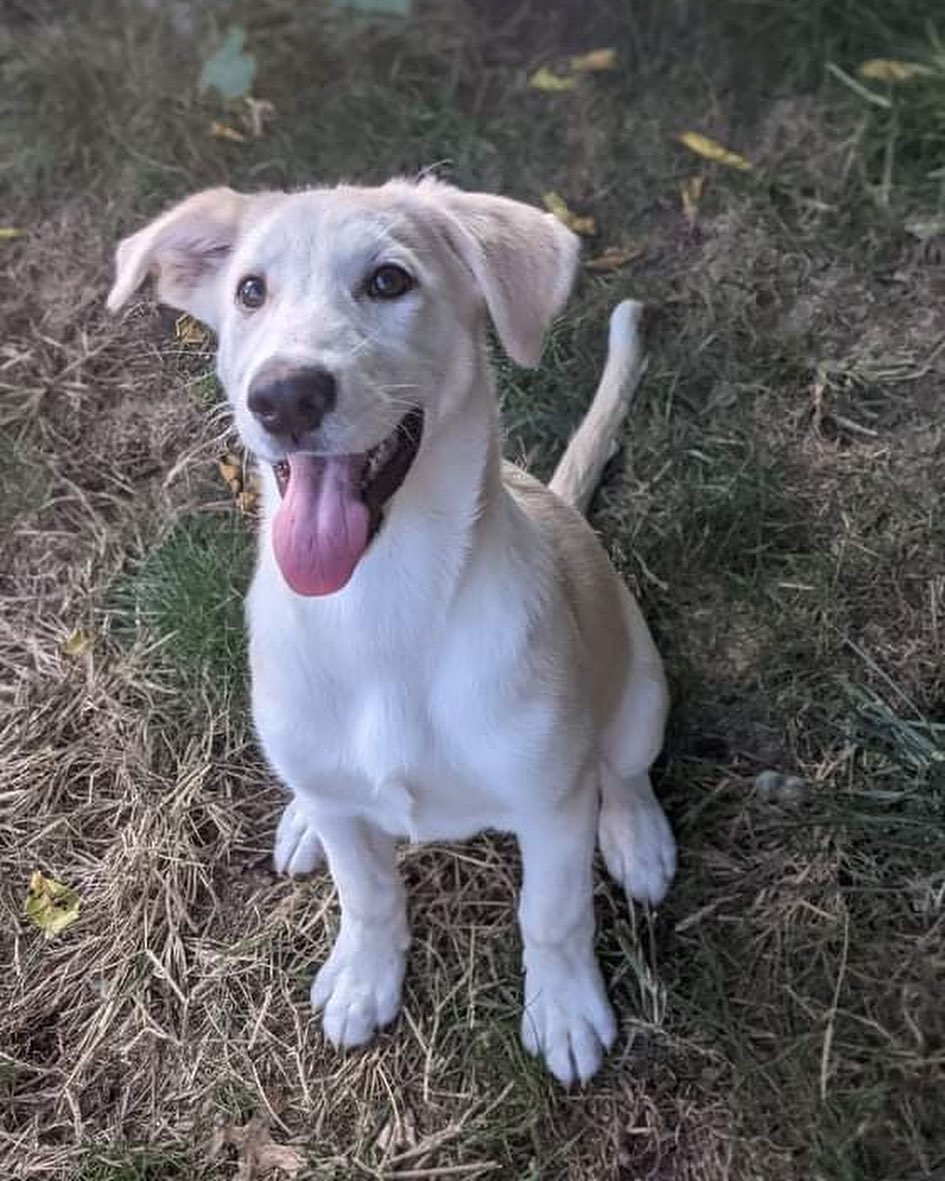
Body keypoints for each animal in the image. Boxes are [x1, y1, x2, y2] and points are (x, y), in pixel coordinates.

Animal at [106, 179, 675, 1081]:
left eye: (387, 281)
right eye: (250, 291)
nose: (285, 396)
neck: (380, 608)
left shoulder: (550, 805)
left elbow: (551, 915)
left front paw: (563, 1008)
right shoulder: (354, 819)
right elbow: (368, 895)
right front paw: (363, 978)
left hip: (641, 690)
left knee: (622, 768)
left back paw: (638, 835)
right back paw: (303, 820)